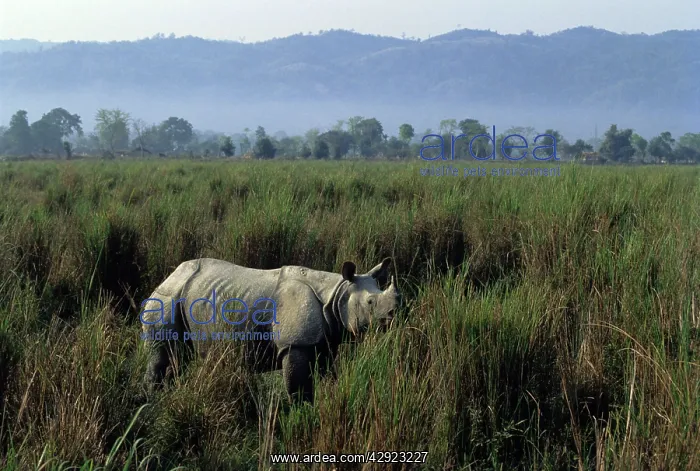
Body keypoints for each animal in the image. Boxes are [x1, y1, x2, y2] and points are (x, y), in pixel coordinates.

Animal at [140, 257, 400, 402]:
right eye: (370, 303)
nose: (392, 317)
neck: (336, 293)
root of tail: (169, 276)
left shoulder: (324, 341)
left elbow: (325, 376)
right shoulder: (295, 343)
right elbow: (298, 388)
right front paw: (301, 415)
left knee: (178, 358)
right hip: (167, 298)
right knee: (164, 353)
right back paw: (152, 399)